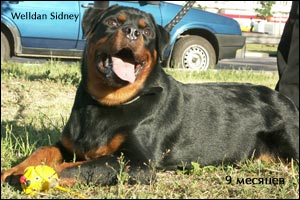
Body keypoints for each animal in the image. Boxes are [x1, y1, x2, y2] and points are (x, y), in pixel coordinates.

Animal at [1, 4, 298, 186]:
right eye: (112, 22)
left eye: (145, 30)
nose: (132, 31)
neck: (108, 103)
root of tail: (285, 101)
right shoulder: (69, 144)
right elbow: (44, 150)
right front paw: (15, 169)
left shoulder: (137, 162)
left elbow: (85, 166)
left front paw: (42, 176)